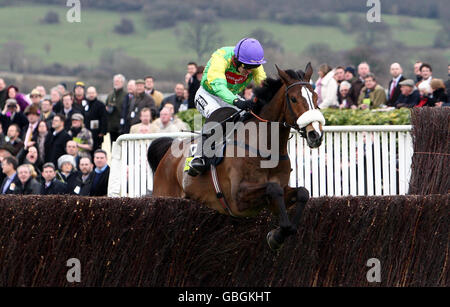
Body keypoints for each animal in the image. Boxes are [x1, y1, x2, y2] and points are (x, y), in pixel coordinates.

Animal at [149, 64, 326, 250]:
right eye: (293, 99)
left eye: (315, 97)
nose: (315, 134)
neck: (265, 147)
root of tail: (169, 152)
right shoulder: (237, 199)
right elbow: (273, 188)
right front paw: (277, 235)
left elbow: (303, 193)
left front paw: (279, 234)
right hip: (163, 195)